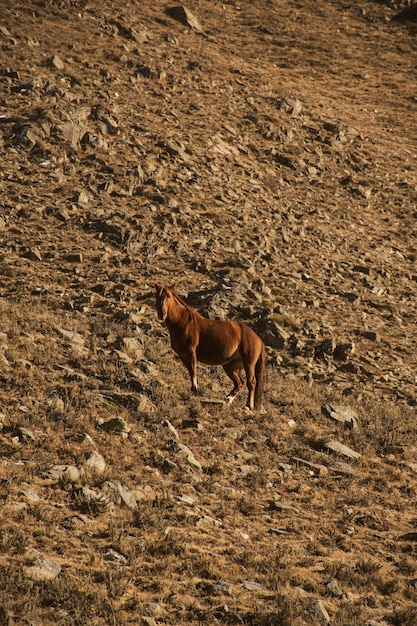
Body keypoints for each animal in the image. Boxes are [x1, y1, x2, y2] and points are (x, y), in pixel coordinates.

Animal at [154, 282, 264, 410]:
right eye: (157, 295)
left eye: (168, 296)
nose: (162, 314)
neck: (183, 322)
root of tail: (258, 339)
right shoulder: (182, 355)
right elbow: (190, 371)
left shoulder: (191, 352)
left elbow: (193, 370)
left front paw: (195, 389)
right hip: (231, 366)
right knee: (240, 383)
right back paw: (228, 399)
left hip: (249, 363)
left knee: (251, 382)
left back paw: (248, 406)